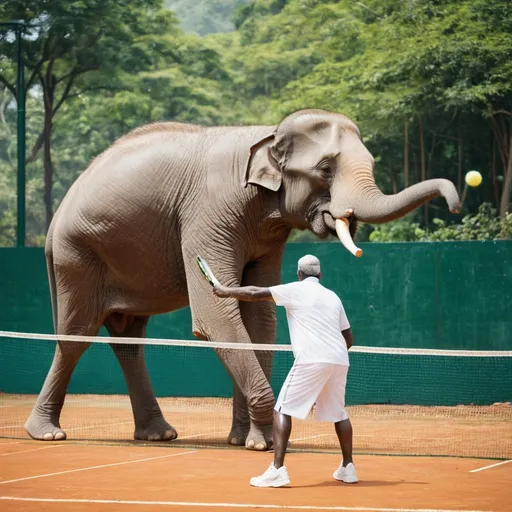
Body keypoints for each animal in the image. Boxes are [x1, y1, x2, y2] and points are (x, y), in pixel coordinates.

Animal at [26, 107, 462, 448]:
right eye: (325, 169)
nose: (457, 203)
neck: (268, 134)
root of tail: (54, 220)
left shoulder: (266, 231)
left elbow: (259, 318)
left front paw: (246, 440)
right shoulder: (209, 210)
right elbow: (216, 317)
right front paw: (264, 441)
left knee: (128, 337)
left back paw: (159, 434)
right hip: (77, 254)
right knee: (76, 334)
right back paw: (48, 433)